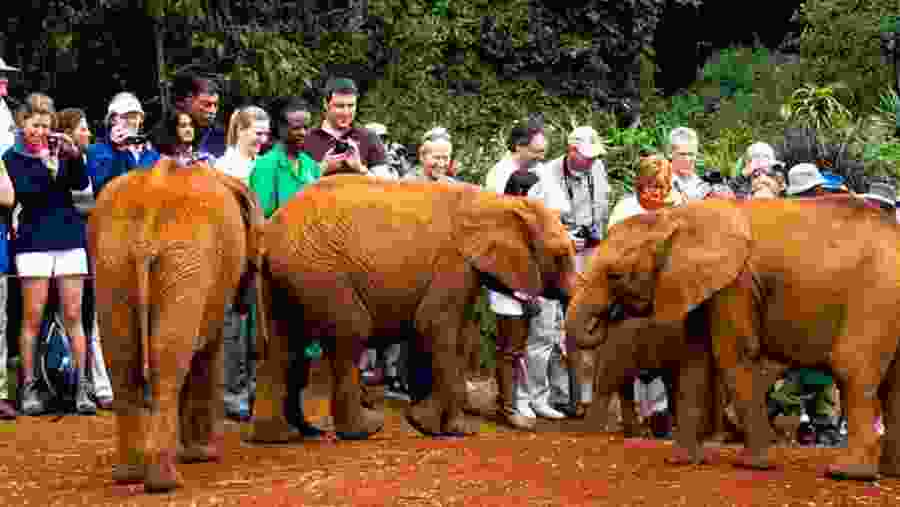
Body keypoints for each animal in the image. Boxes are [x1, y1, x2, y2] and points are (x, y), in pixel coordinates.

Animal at [89, 161, 268, 494]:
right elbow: (207, 349)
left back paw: (129, 475)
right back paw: (165, 482)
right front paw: (202, 456)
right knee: (170, 362)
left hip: (113, 261)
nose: (259, 350)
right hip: (182, 260)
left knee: (122, 359)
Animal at [243, 176, 572, 444]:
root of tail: (268, 233)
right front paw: (449, 429)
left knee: (282, 346)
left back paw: (281, 436)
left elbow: (443, 335)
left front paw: (430, 425)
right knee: (350, 333)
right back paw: (364, 430)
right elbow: (436, 328)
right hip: (319, 272)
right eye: (560, 256)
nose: (535, 308)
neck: (497, 203)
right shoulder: (454, 264)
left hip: (286, 276)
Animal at [568, 196, 900, 482]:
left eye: (614, 276)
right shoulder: (700, 285)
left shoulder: (736, 285)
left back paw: (847, 474)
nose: (608, 316)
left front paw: (754, 466)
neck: (675, 217)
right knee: (893, 383)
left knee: (852, 368)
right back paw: (888, 474)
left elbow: (733, 355)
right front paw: (681, 461)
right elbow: (695, 361)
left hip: (877, 294)